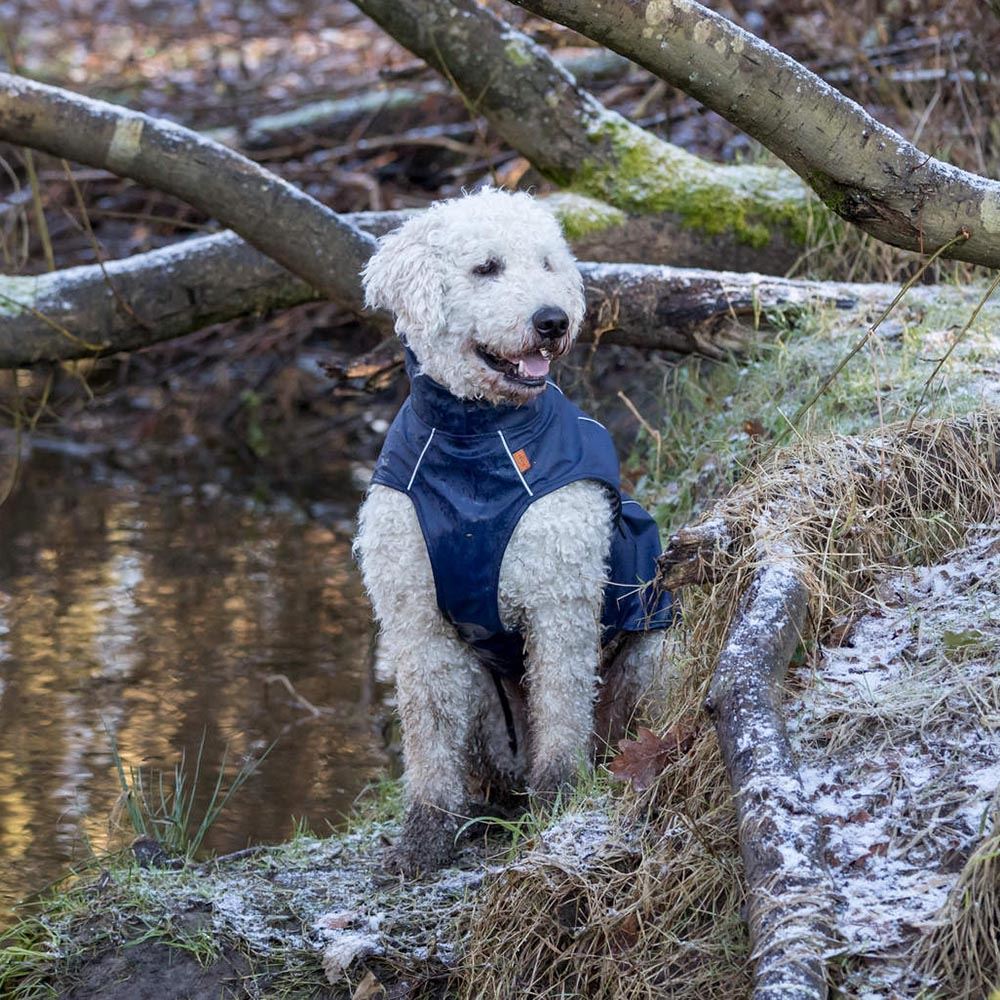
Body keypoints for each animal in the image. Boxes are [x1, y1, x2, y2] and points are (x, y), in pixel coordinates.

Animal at [356, 188, 668, 876]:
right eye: (486, 268)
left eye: (548, 263)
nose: (553, 320)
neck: (476, 447)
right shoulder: (418, 623)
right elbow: (427, 736)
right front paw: (423, 839)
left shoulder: (561, 601)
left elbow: (560, 704)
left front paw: (558, 806)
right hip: (484, 701)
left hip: (657, 650)